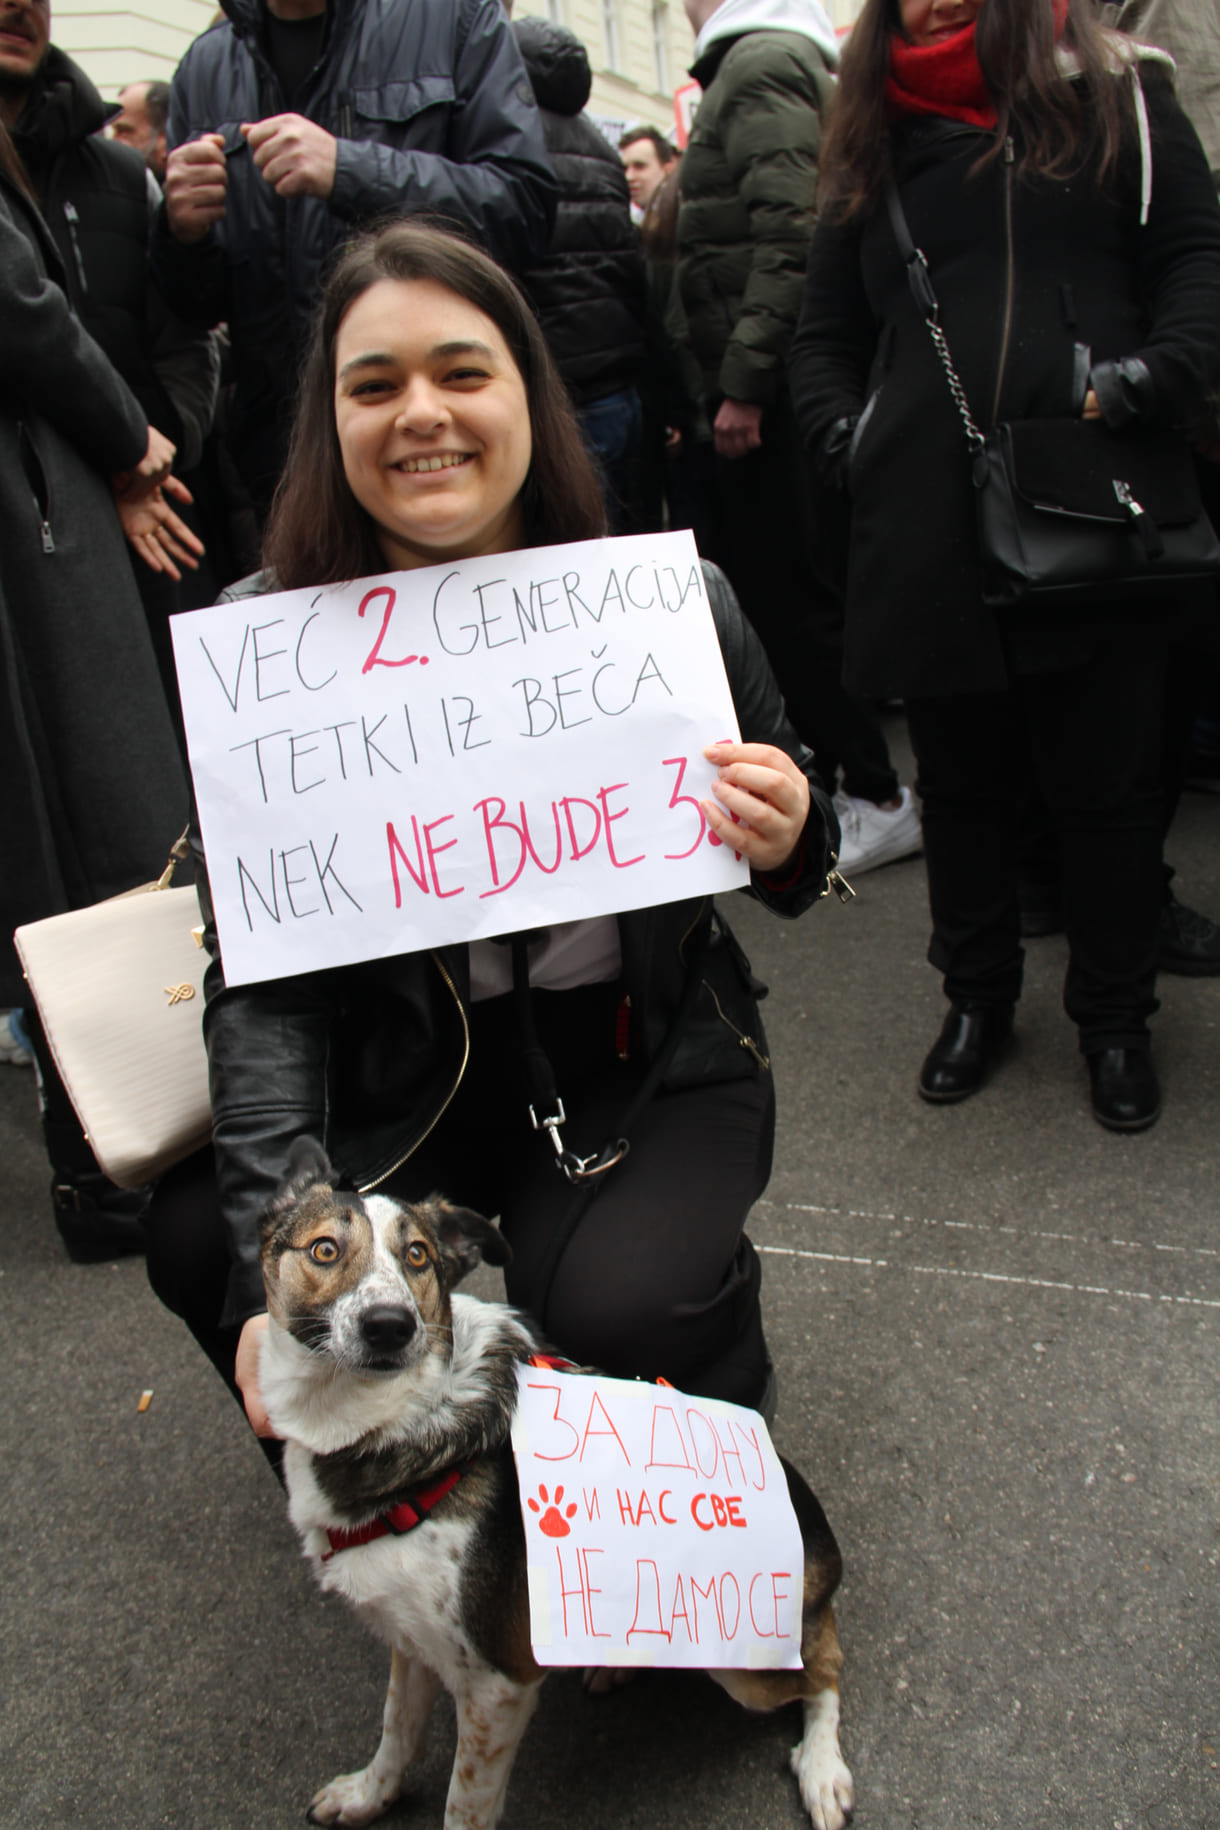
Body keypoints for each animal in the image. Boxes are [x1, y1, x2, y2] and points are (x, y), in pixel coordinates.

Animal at [257, 1134, 856, 1822]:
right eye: (324, 1249)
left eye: (418, 1257)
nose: (391, 1326)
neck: (397, 1418)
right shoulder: (410, 1639)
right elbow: (395, 1733)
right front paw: (368, 1796)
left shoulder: (499, 1686)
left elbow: (463, 1805)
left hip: (752, 1662)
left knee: (827, 1664)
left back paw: (823, 1766)